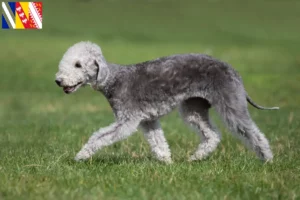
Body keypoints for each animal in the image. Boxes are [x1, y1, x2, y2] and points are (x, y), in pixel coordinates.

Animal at [55, 41, 278, 163]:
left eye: (78, 64)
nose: (58, 81)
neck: (113, 80)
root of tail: (234, 71)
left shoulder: (126, 121)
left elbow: (99, 137)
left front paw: (81, 156)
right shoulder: (148, 120)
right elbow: (158, 142)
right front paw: (167, 162)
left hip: (231, 104)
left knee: (253, 132)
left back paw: (268, 159)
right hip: (193, 108)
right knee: (212, 134)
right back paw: (196, 157)